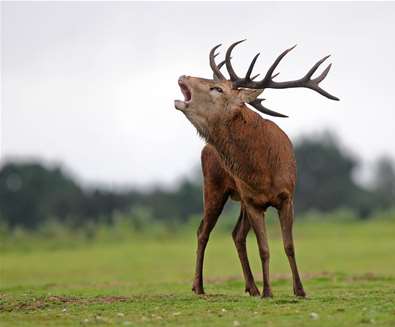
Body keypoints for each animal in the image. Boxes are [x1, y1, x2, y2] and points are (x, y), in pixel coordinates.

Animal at [175, 40, 338, 300]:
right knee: (203, 231)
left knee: (236, 234)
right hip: (213, 186)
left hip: (238, 198)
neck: (263, 170)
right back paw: (199, 287)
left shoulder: (286, 197)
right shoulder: (252, 201)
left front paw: (299, 290)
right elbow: (264, 248)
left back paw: (251, 287)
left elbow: (289, 245)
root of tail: (206, 147)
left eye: (217, 88)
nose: (184, 76)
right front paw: (269, 291)